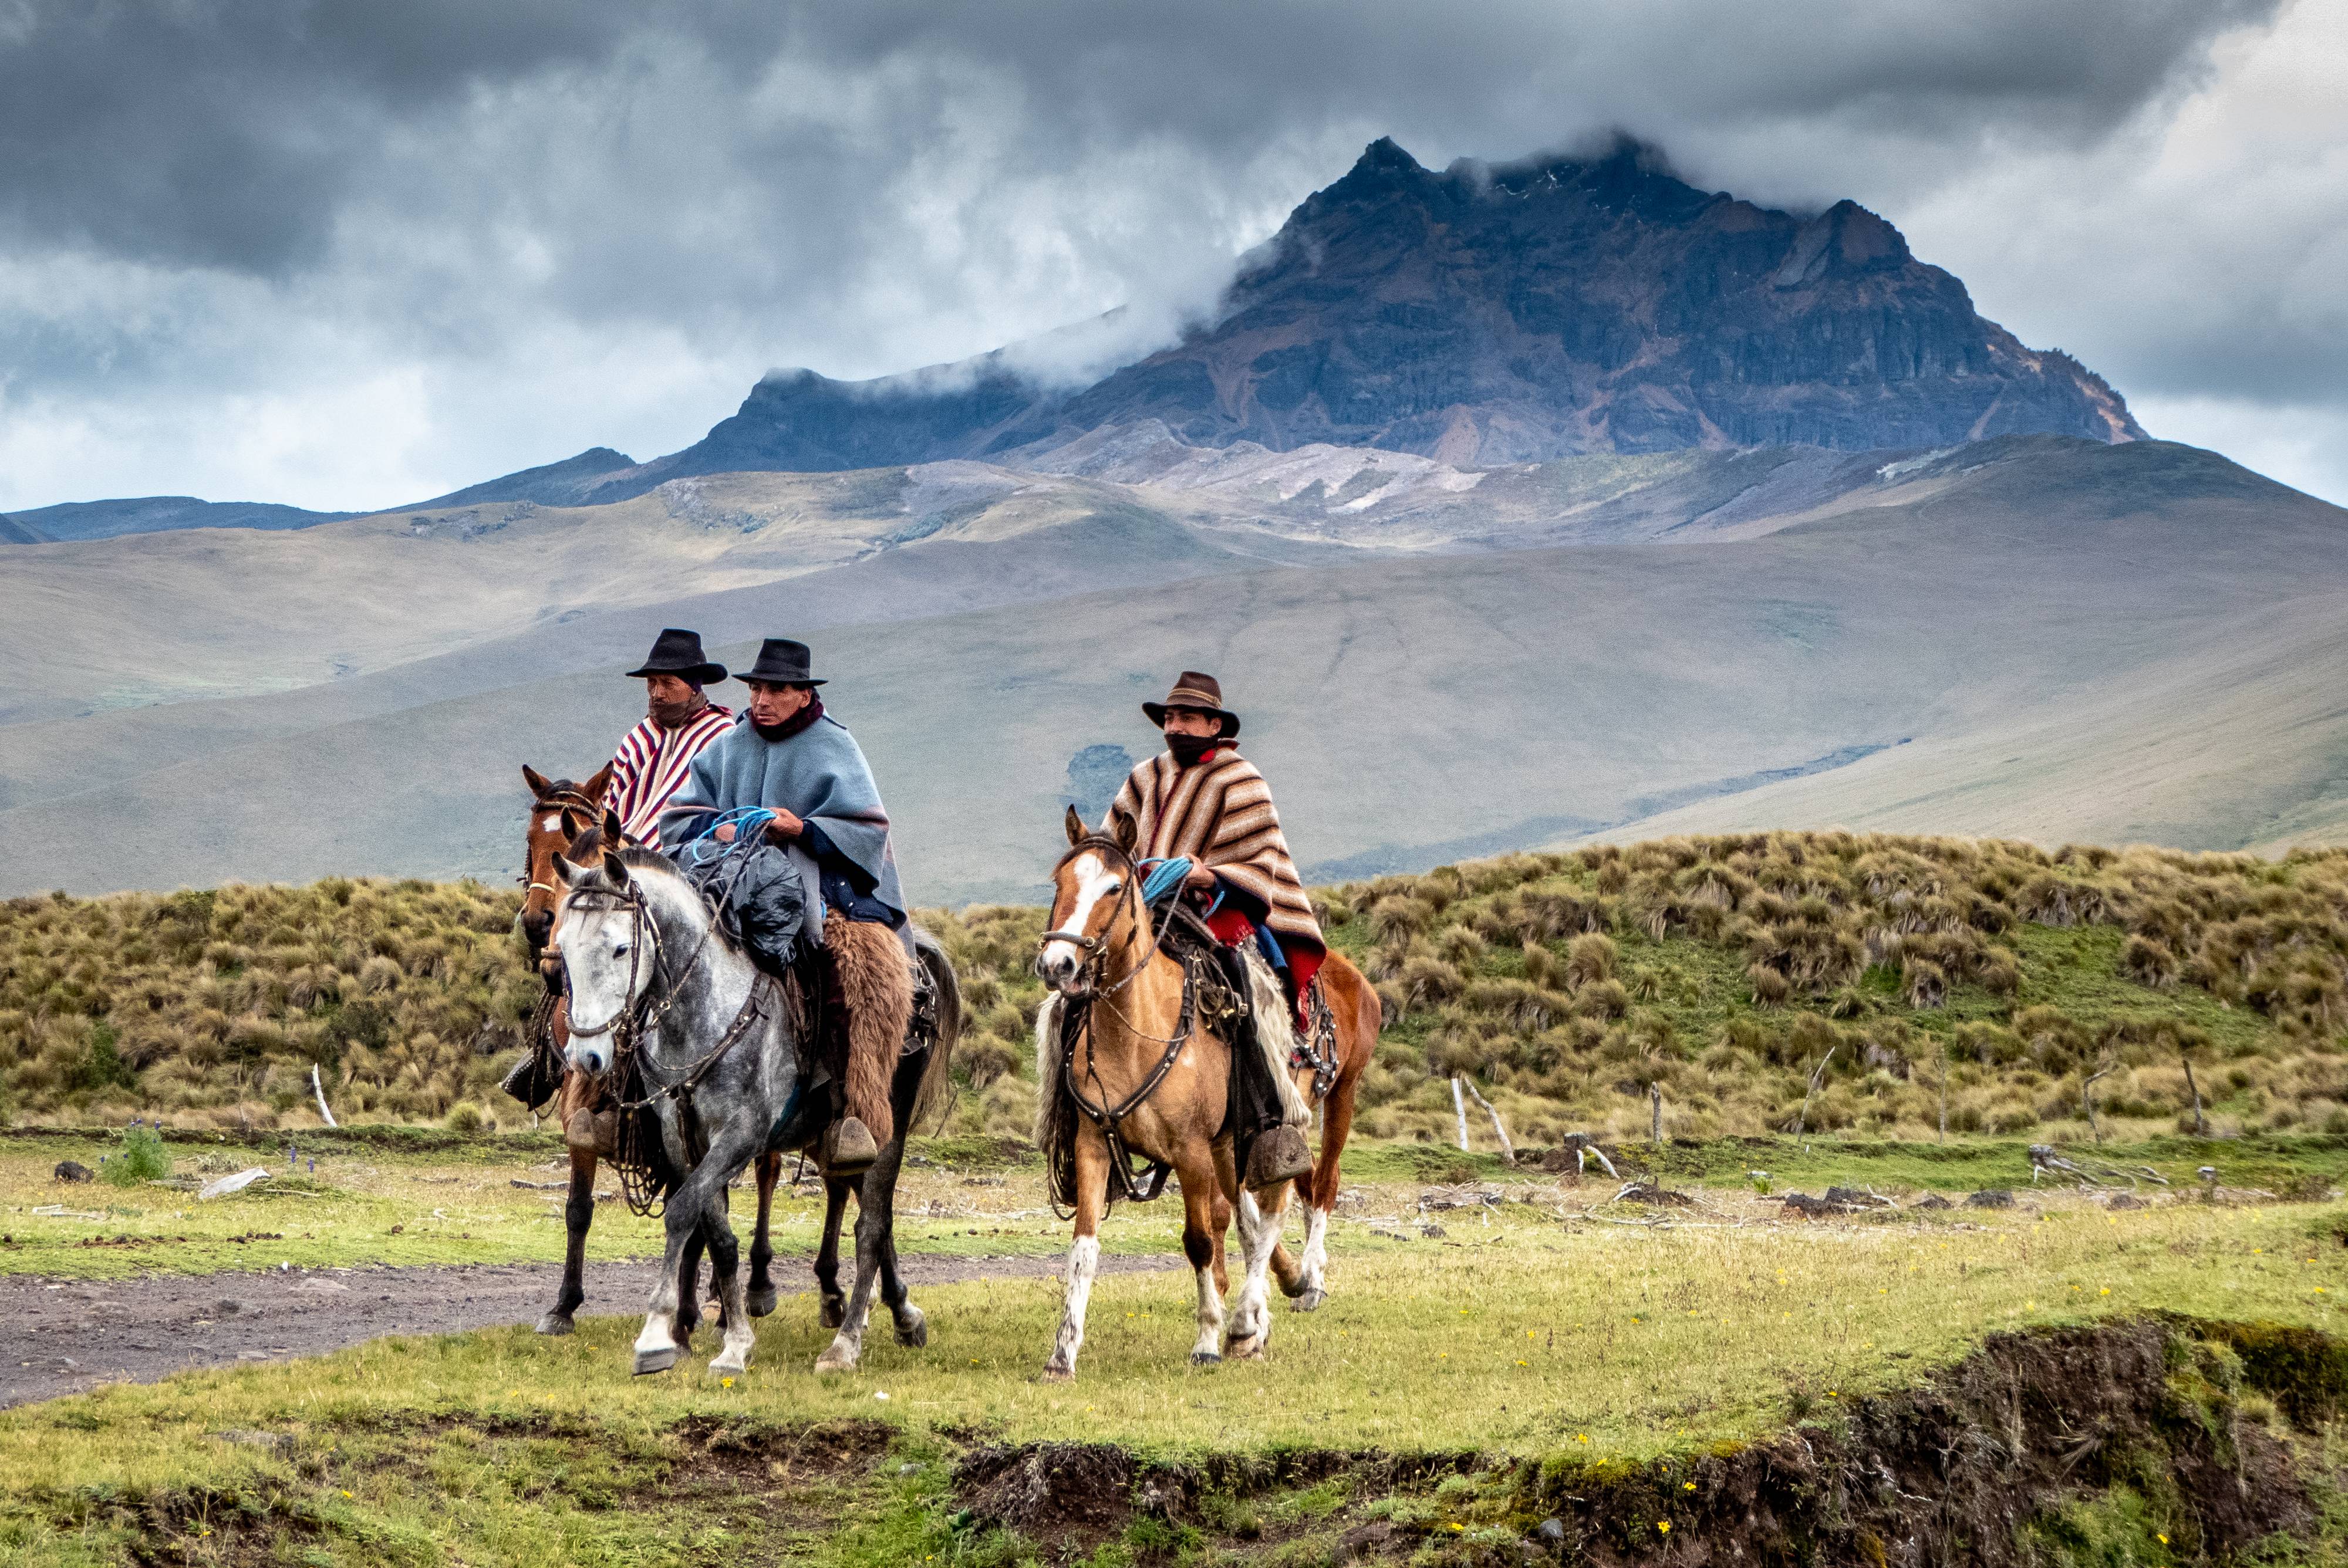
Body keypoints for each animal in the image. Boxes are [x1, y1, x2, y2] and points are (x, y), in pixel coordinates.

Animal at [549, 845, 953, 1371]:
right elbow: (716, 1234)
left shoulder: (742, 1134)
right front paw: (733, 1341)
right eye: (564, 949)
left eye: (620, 948)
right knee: (872, 1218)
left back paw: (845, 1344)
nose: (586, 1057)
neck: (704, 1016)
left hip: (887, 1125)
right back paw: (901, 1315)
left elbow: (682, 1212)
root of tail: (917, 973)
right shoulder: (684, 1138)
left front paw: (657, 1334)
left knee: (872, 1228)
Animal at [1028, 803, 1371, 1380]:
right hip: (1230, 1144)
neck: (1137, 1035)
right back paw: (1265, 1310)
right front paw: (1062, 1352)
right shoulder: (1093, 1146)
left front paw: (1209, 1338)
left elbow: (1200, 1241)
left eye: (1115, 887)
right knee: (1253, 1219)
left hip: (1313, 1109)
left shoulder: (1191, 1151)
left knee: (1294, 1198)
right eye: (1060, 882)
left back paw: (1262, 1310)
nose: (1059, 965)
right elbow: (1084, 1248)